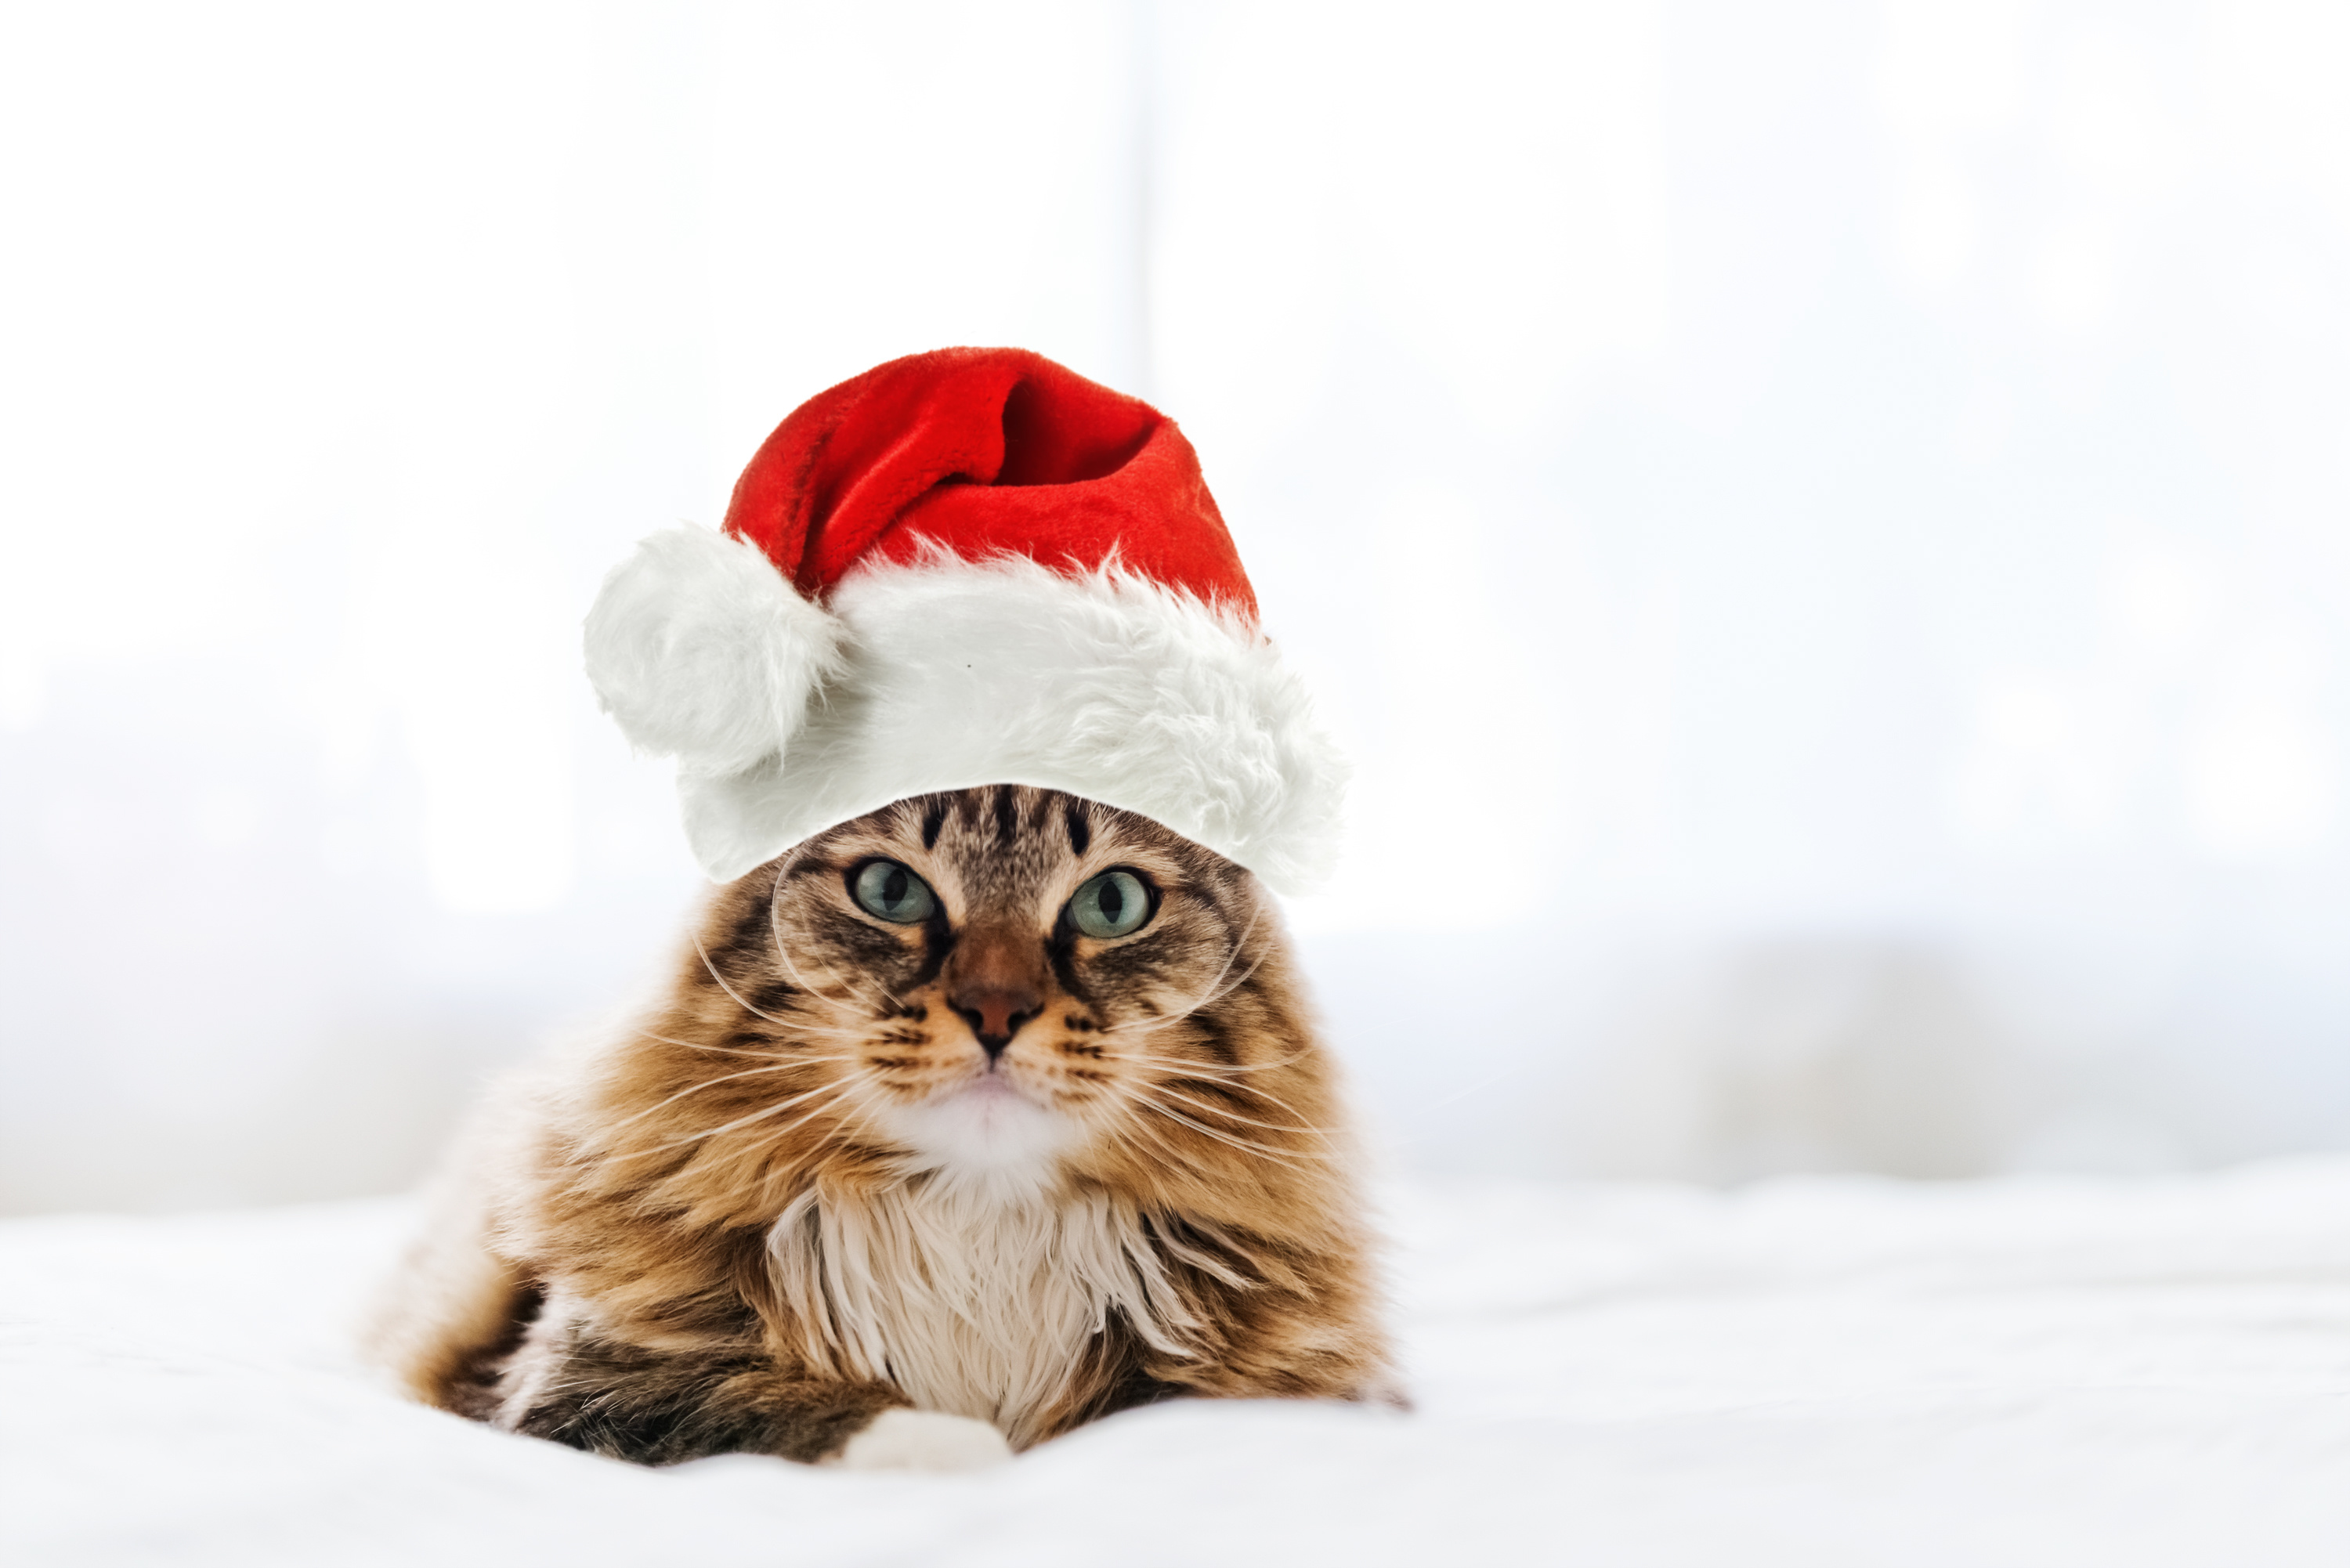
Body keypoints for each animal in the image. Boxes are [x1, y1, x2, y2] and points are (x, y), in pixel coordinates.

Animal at [367, 785, 1391, 1476]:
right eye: (891, 890)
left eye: (1113, 904)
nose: (995, 1011)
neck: (976, 1224)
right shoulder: (568, 1389)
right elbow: (782, 1405)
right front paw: (960, 1444)